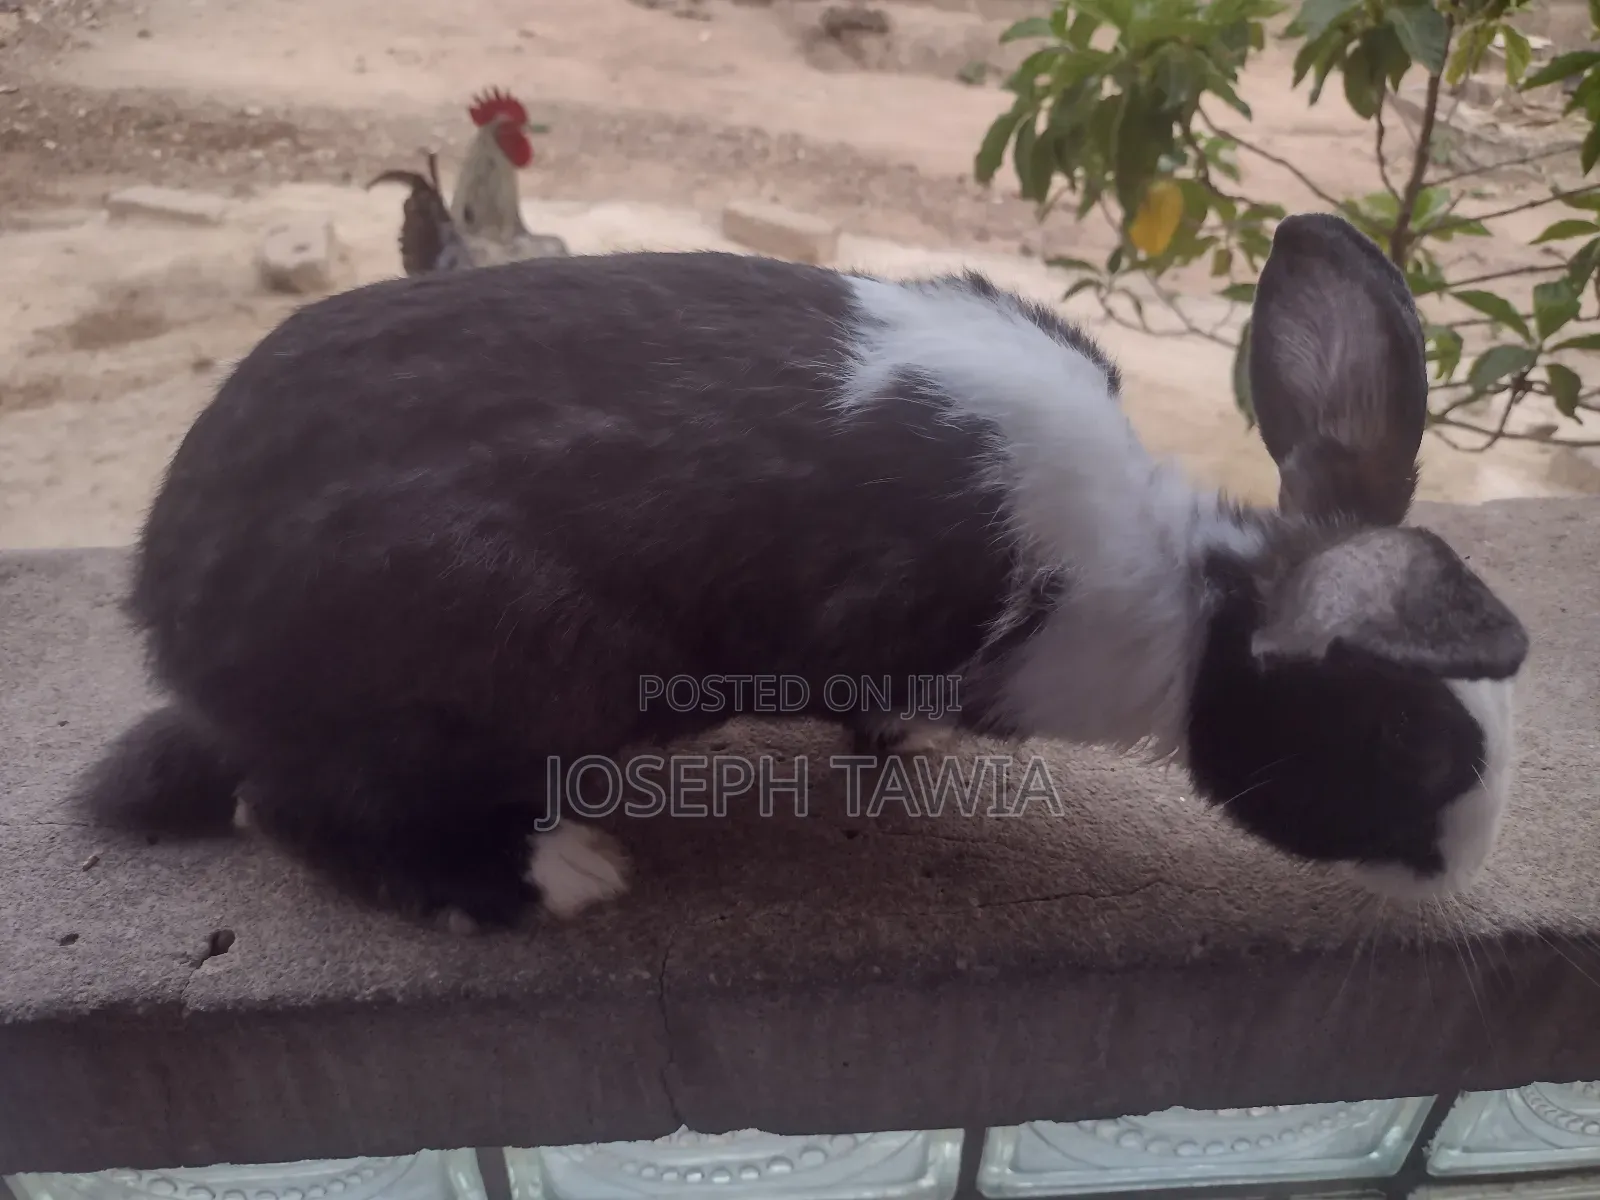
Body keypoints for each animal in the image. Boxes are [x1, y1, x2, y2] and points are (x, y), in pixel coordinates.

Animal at [79, 212, 1529, 930]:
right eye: (1405, 744)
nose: (1467, 867)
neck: (1176, 586)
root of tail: (179, 630)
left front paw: (903, 753)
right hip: (522, 674)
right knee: (301, 811)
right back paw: (557, 878)